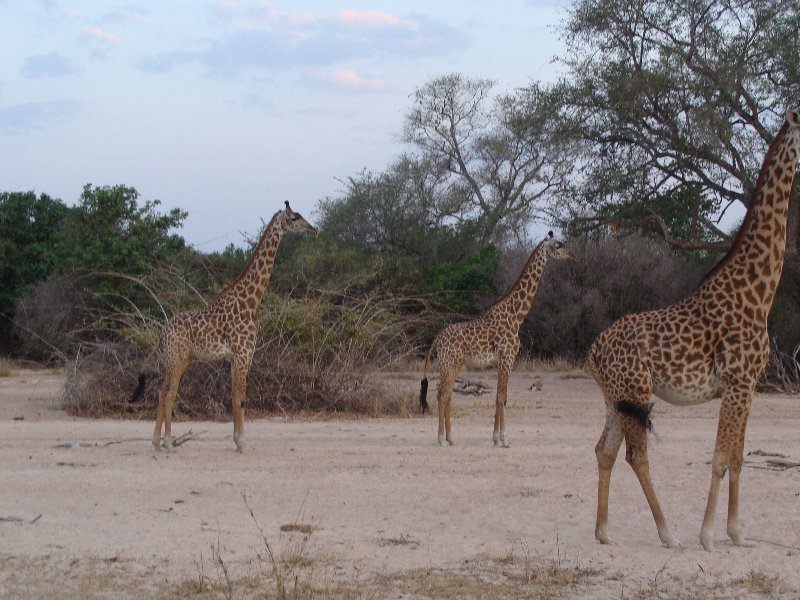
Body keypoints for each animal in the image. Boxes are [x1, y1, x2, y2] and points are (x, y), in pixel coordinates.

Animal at [131, 199, 316, 452]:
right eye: (295, 217)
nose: (313, 229)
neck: (250, 304)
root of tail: (162, 333)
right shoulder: (244, 354)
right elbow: (241, 398)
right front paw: (242, 443)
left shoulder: (233, 357)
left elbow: (233, 396)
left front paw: (237, 440)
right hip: (178, 359)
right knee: (169, 395)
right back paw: (168, 442)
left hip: (174, 359)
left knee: (161, 392)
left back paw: (156, 441)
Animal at [418, 232, 576, 448]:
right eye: (558, 245)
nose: (573, 256)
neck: (516, 316)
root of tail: (437, 339)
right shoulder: (506, 358)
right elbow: (501, 397)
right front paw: (504, 439)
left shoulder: (505, 361)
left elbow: (501, 397)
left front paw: (496, 438)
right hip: (449, 363)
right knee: (442, 395)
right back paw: (442, 439)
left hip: (453, 364)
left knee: (447, 395)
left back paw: (450, 438)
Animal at [588, 110, 800, 552]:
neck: (758, 293)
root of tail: (593, 350)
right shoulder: (737, 382)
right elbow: (719, 458)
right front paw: (707, 536)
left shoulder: (749, 385)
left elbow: (738, 457)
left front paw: (737, 533)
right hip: (637, 392)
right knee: (636, 456)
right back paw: (669, 534)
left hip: (614, 397)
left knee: (604, 450)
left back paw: (604, 532)